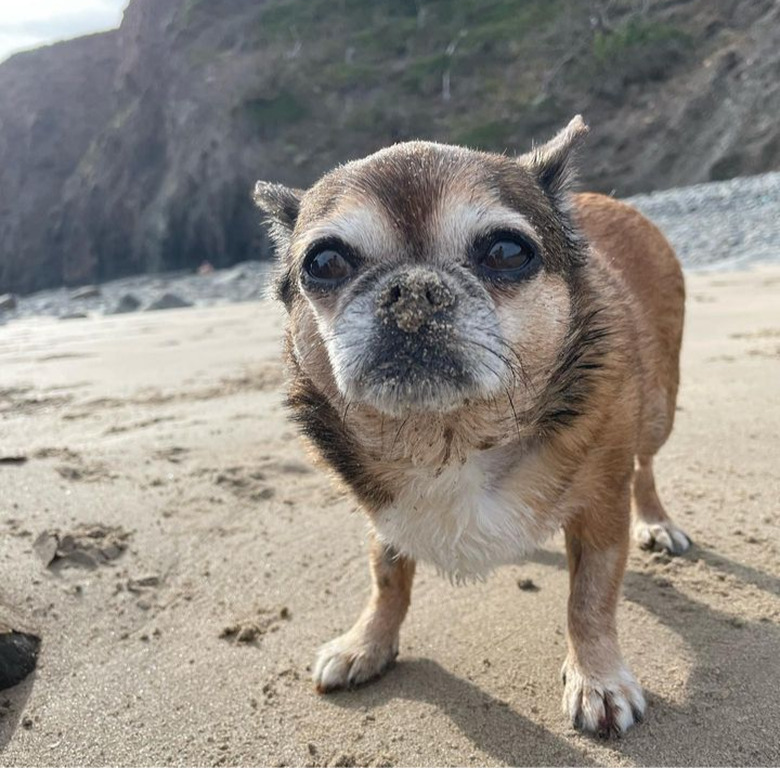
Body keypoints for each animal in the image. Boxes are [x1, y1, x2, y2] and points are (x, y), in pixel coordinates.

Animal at [254, 118, 688, 736]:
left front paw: (597, 677)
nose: (412, 287)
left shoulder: (601, 510)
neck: (449, 436)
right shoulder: (385, 512)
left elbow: (591, 597)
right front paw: (367, 642)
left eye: (507, 251)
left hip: (655, 414)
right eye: (325, 262)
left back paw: (655, 522)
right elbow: (387, 578)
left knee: (645, 464)